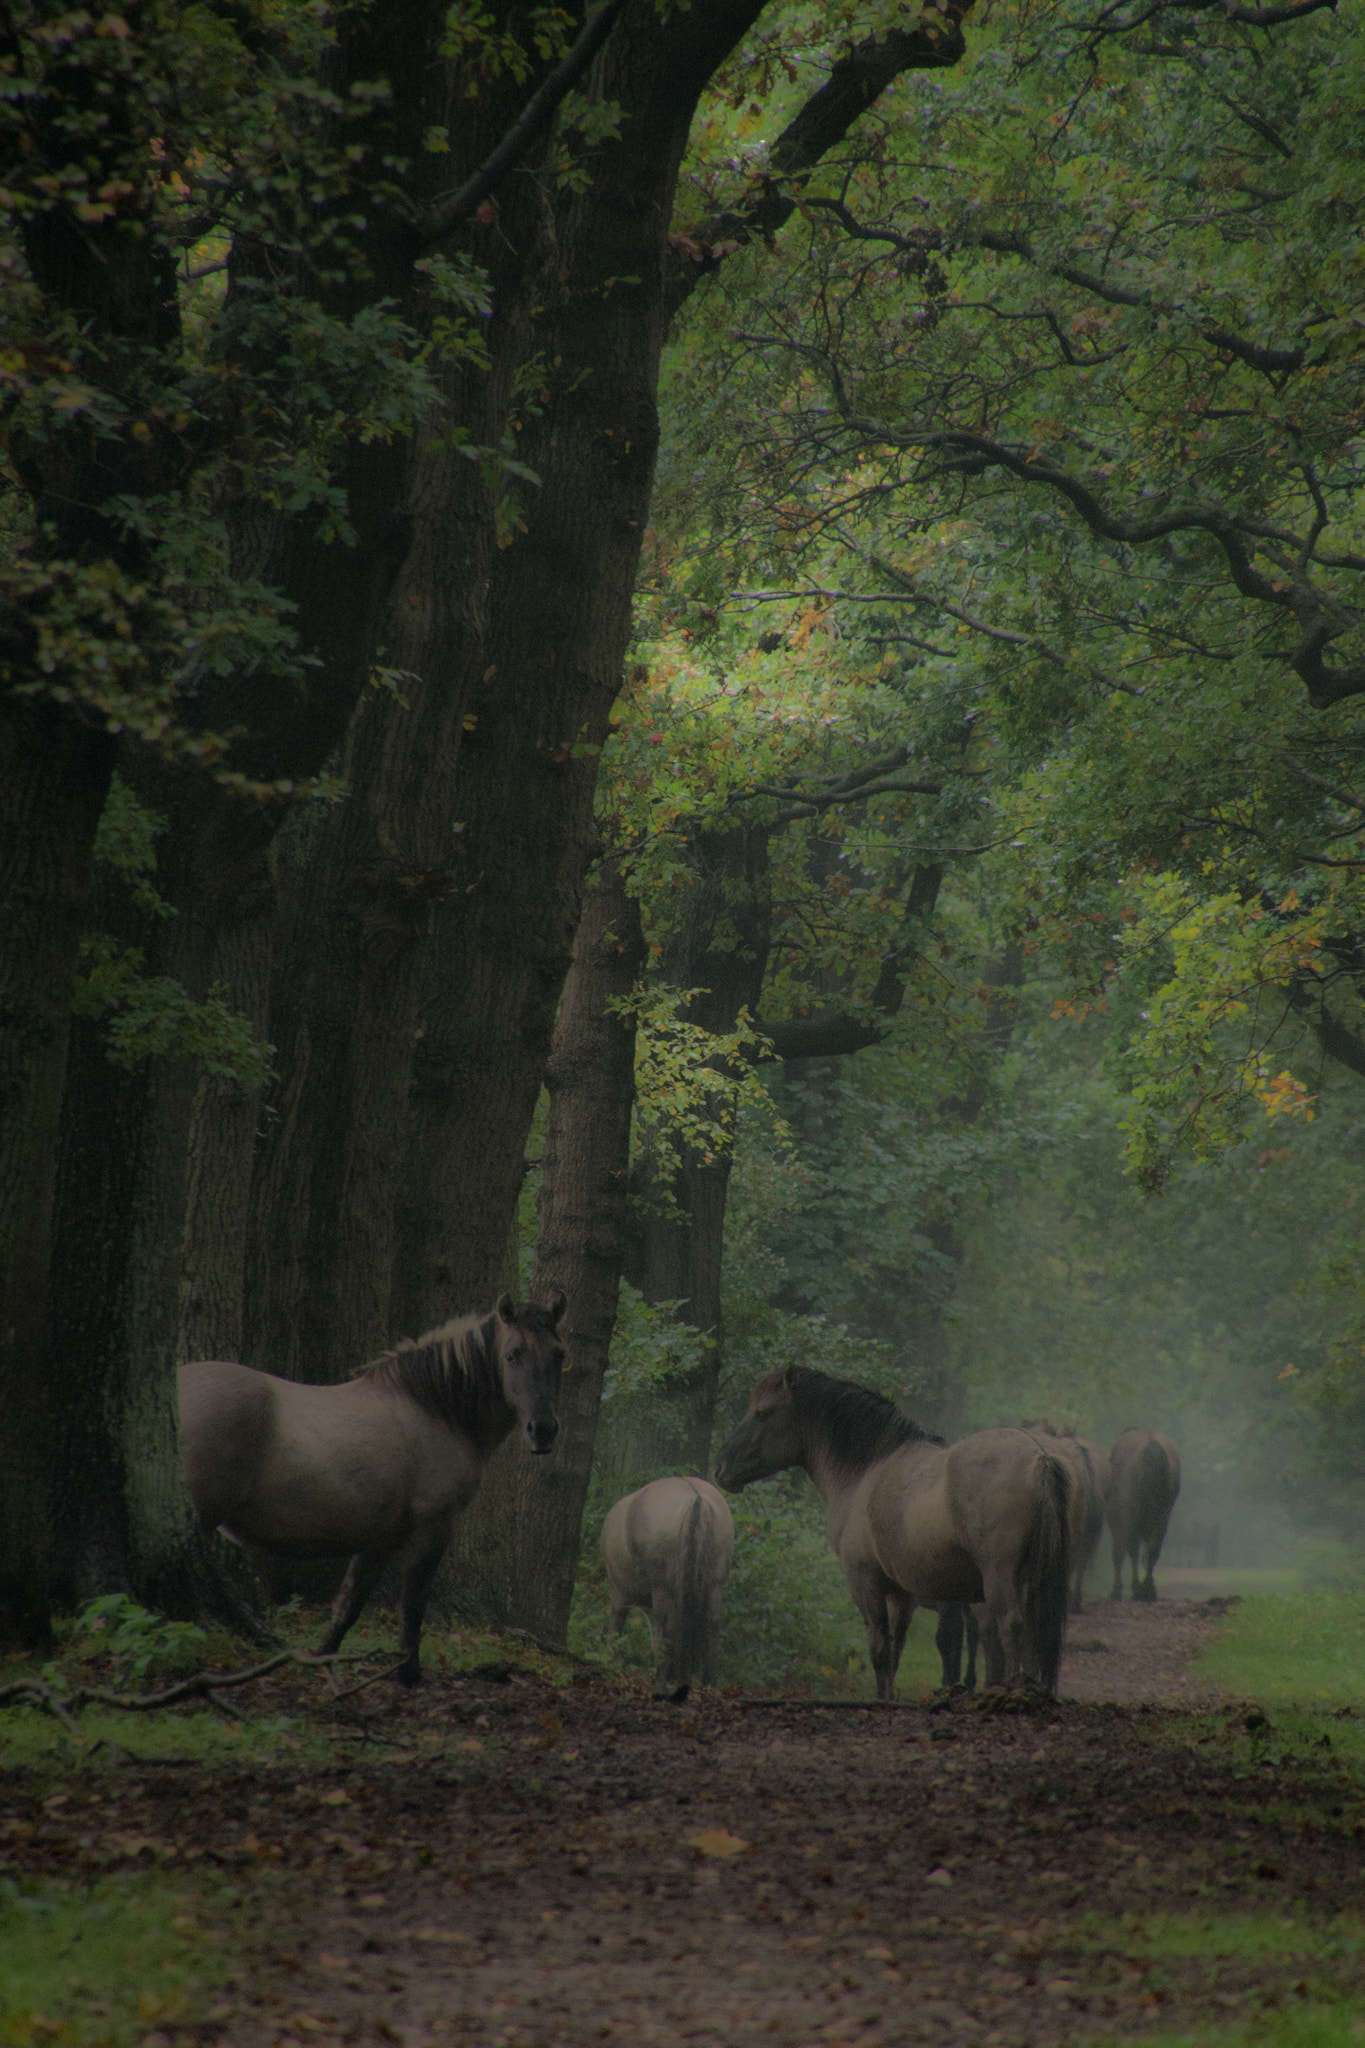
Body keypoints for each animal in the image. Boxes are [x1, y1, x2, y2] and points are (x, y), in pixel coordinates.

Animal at [178, 1293, 566, 1682]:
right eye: (512, 1354)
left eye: (559, 1354)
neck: (435, 1410)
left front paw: (324, 1664)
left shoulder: (382, 1538)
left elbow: (349, 1605)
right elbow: (413, 1603)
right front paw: (408, 1673)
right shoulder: (434, 1526)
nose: (543, 1430)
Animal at [601, 1476, 735, 1700]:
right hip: (714, 1585)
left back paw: (661, 1685)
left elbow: (616, 1630)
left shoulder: (619, 1591)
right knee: (711, 1626)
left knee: (667, 1628)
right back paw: (708, 1684)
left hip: (661, 1586)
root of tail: (695, 1497)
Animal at [714, 1367, 1073, 1697]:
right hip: (1033, 1581)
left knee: (1011, 1628)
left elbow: (879, 1650)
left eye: (763, 1413)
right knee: (1037, 1633)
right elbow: (895, 1650)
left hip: (1000, 1580)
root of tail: (1038, 1456)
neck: (867, 1471)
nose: (721, 1467)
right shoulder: (902, 1594)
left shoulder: (865, 1583)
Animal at [1107, 1427, 1181, 1601]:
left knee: (1133, 1549)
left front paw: (1116, 1590)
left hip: (1133, 1516)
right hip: (1162, 1516)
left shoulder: (1116, 1519)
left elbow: (1119, 1552)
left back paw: (1137, 1589)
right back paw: (1149, 1589)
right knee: (1153, 1549)